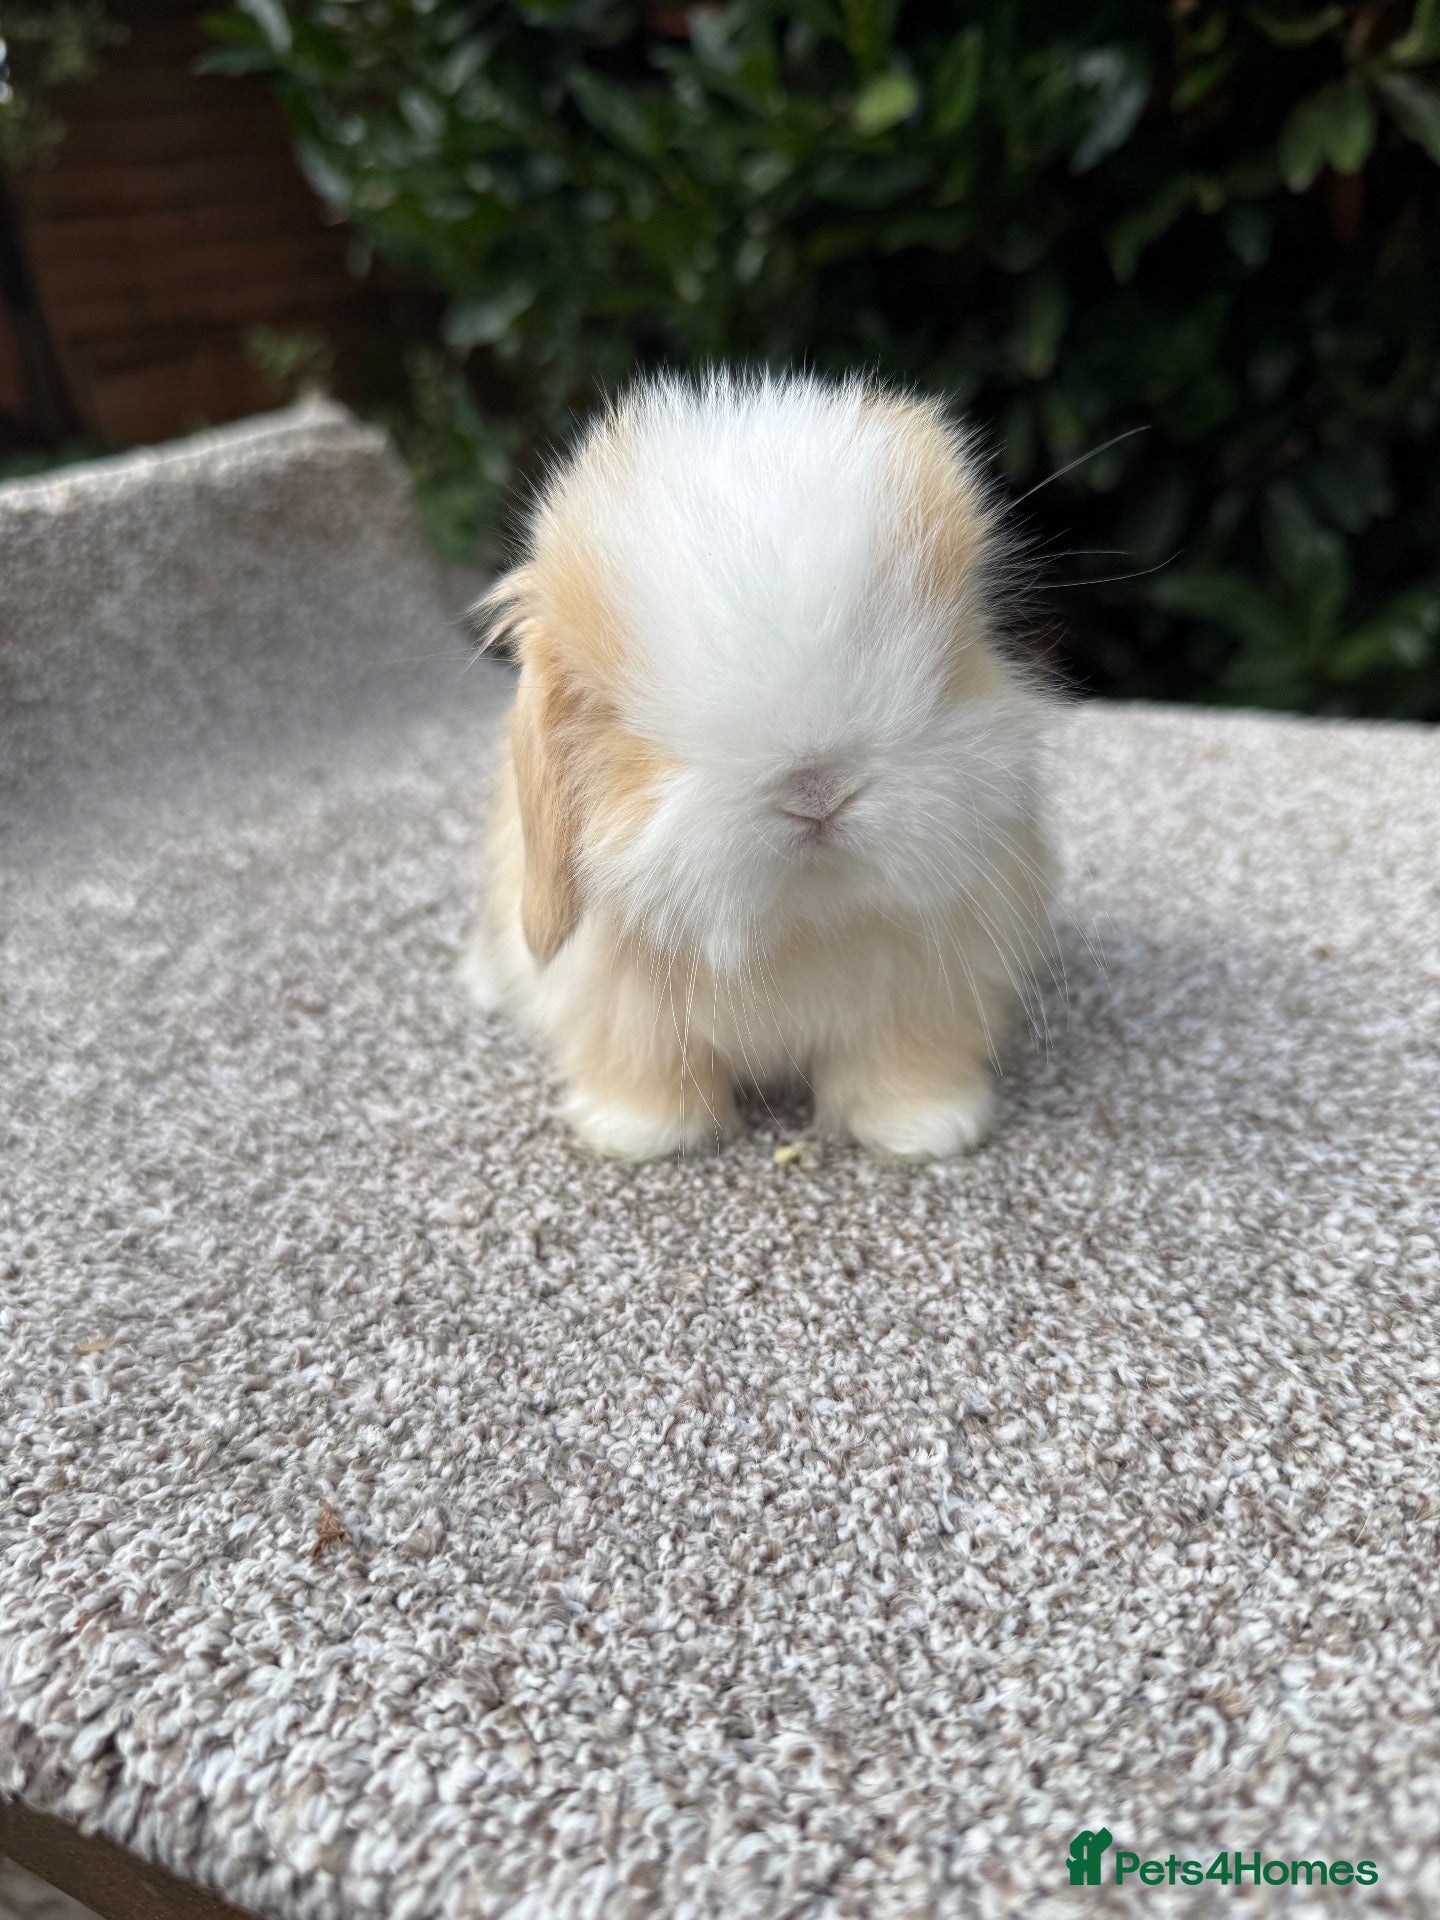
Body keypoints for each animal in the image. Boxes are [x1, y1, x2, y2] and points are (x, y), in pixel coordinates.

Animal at [463, 369, 1053, 1162]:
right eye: (624, 722)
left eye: (951, 661)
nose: (818, 787)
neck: (797, 927)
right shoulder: (623, 1012)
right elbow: (643, 1066)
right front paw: (637, 1134)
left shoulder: (926, 995)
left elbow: (902, 1062)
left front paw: (929, 1130)